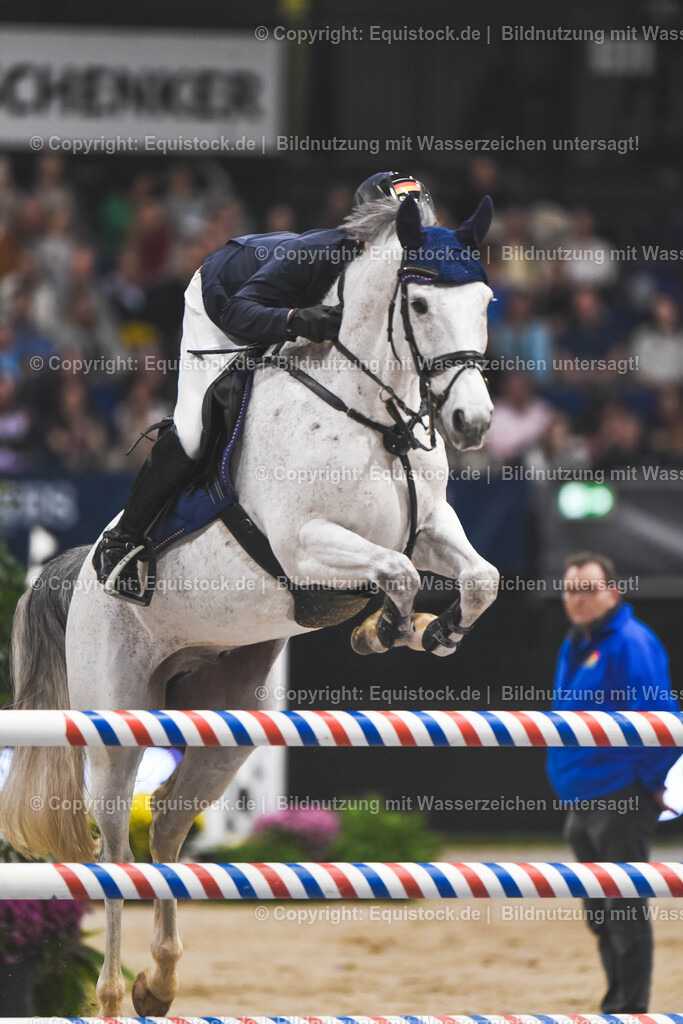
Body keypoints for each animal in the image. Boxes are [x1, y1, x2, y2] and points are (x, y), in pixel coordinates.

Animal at [0, 194, 499, 1015]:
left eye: (487, 301)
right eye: (422, 303)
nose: (472, 425)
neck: (373, 418)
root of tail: (77, 573)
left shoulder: (430, 526)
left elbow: (477, 578)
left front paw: (434, 629)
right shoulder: (304, 546)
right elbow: (394, 572)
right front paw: (386, 629)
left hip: (225, 718)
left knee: (169, 825)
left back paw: (159, 981)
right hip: (116, 719)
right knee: (113, 843)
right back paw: (111, 993)